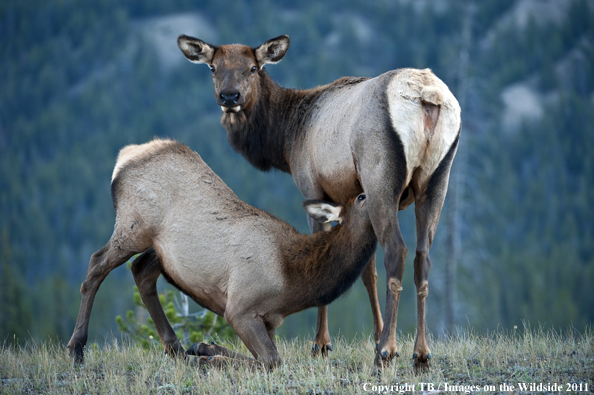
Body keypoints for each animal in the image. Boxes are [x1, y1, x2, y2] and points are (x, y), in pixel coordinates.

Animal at [68, 138, 374, 370]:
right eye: (361, 197)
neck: (295, 281)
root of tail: (125, 156)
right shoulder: (240, 308)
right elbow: (271, 360)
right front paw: (209, 357)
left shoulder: (269, 320)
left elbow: (264, 356)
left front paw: (204, 347)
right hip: (134, 227)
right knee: (96, 265)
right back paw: (77, 349)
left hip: (158, 248)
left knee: (141, 270)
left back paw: (176, 349)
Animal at [177, 34, 462, 372]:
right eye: (213, 67)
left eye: (253, 68)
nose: (229, 96)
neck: (285, 140)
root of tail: (427, 96)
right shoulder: (354, 199)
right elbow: (367, 272)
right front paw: (375, 334)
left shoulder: (312, 186)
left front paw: (322, 344)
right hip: (436, 181)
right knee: (423, 258)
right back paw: (421, 353)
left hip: (380, 177)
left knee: (397, 251)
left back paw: (387, 351)